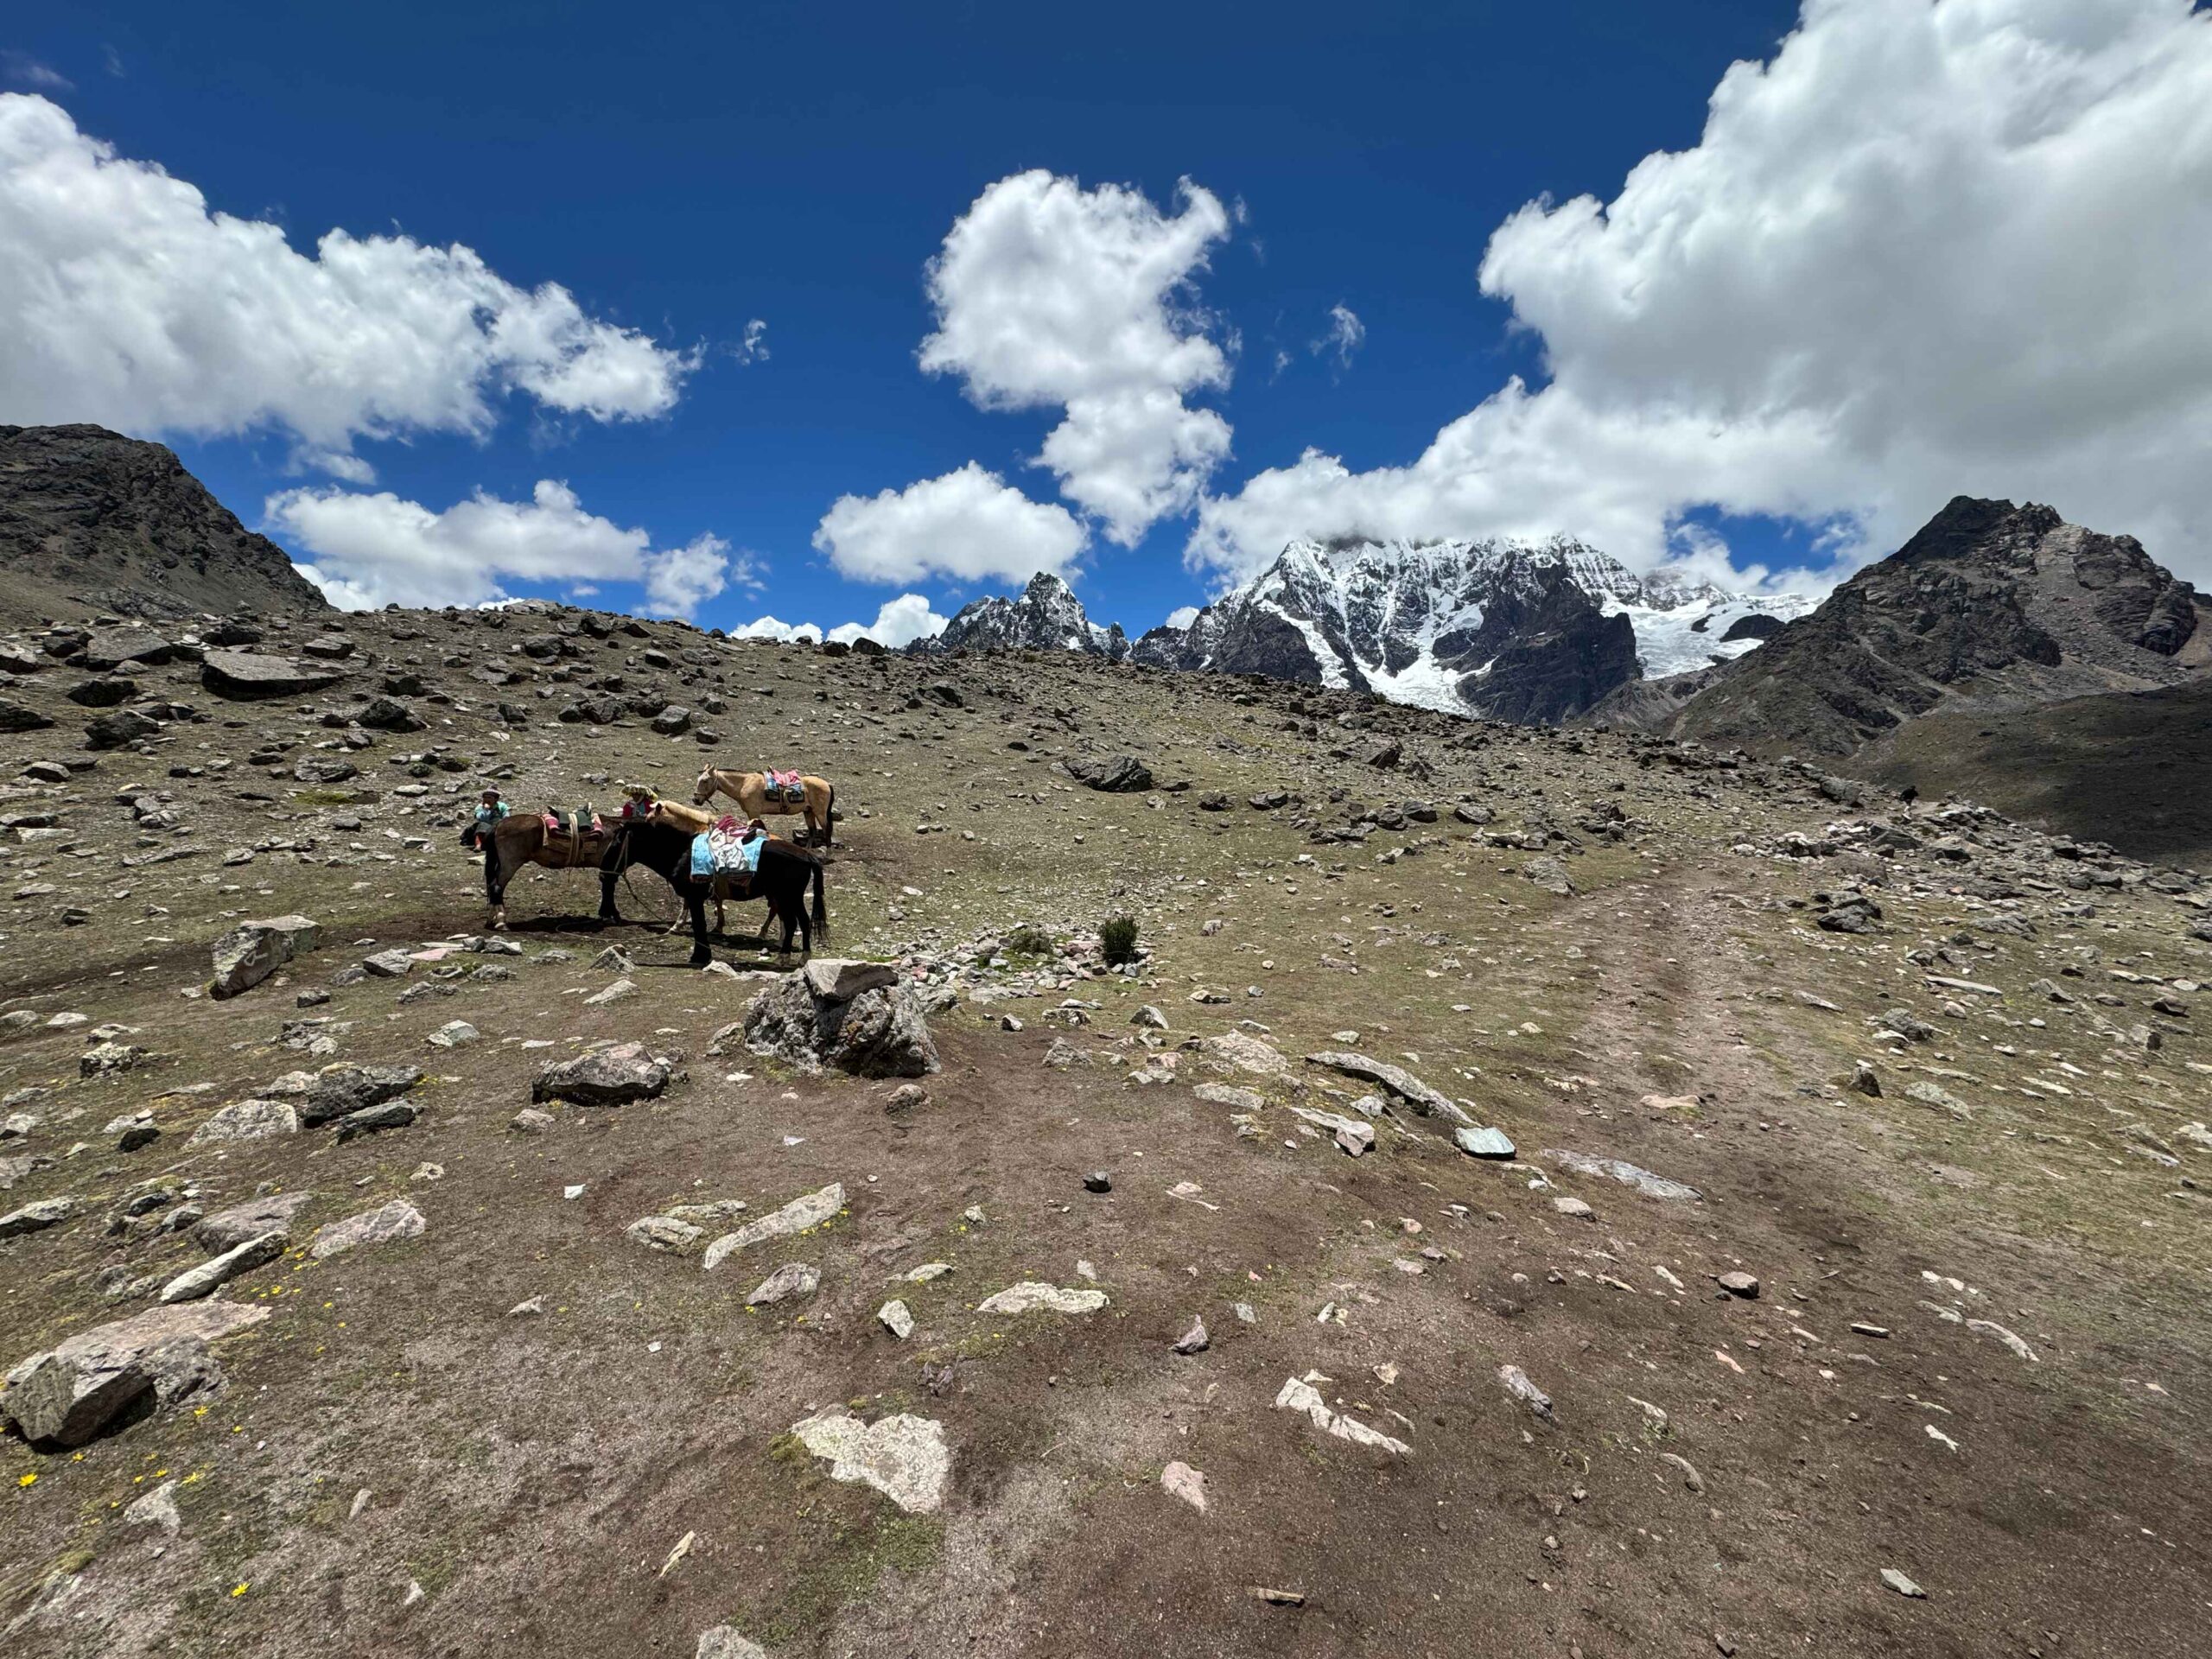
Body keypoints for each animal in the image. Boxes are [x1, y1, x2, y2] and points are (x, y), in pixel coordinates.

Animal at [606, 823, 831, 973]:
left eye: (616, 842)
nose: (604, 871)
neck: (681, 853)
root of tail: (806, 855)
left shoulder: (694, 897)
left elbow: (699, 925)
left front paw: (700, 956)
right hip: (792, 897)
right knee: (803, 921)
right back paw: (802, 958)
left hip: (785, 896)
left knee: (793, 923)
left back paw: (783, 958)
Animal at [690, 765, 836, 844]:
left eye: (705, 780)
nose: (696, 799)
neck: (744, 784)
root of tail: (827, 784)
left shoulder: (754, 813)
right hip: (808, 811)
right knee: (812, 831)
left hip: (820, 812)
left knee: (826, 829)